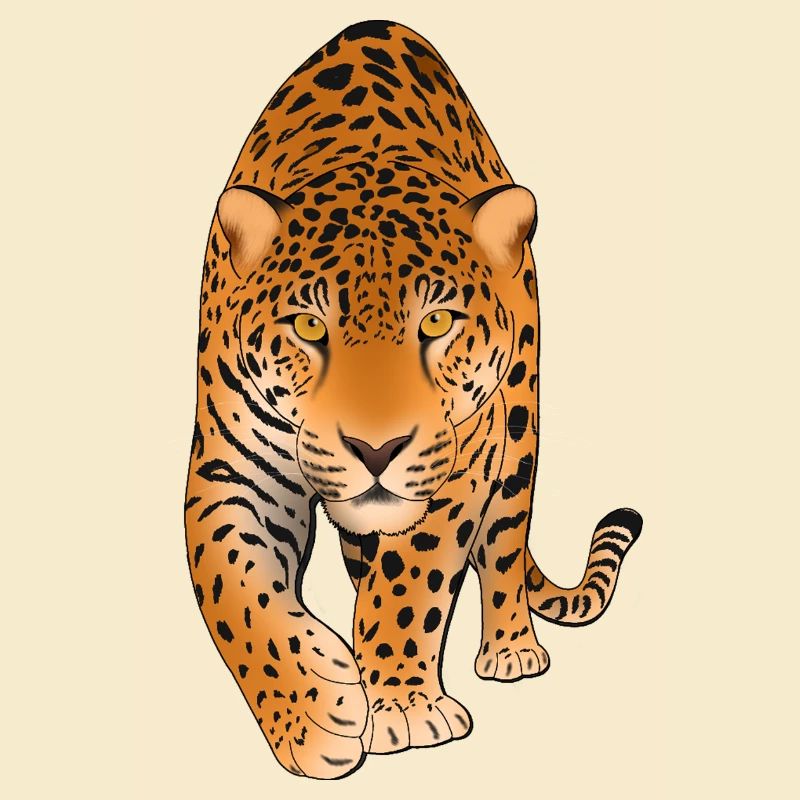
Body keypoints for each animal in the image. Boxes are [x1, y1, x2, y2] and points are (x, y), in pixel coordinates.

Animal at [184, 19, 642, 780]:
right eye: (310, 327)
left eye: (436, 322)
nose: (376, 450)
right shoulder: (232, 467)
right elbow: (233, 587)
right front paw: (313, 713)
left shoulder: (459, 464)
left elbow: (410, 581)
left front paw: (400, 705)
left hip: (518, 430)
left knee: (505, 544)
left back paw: (511, 648)